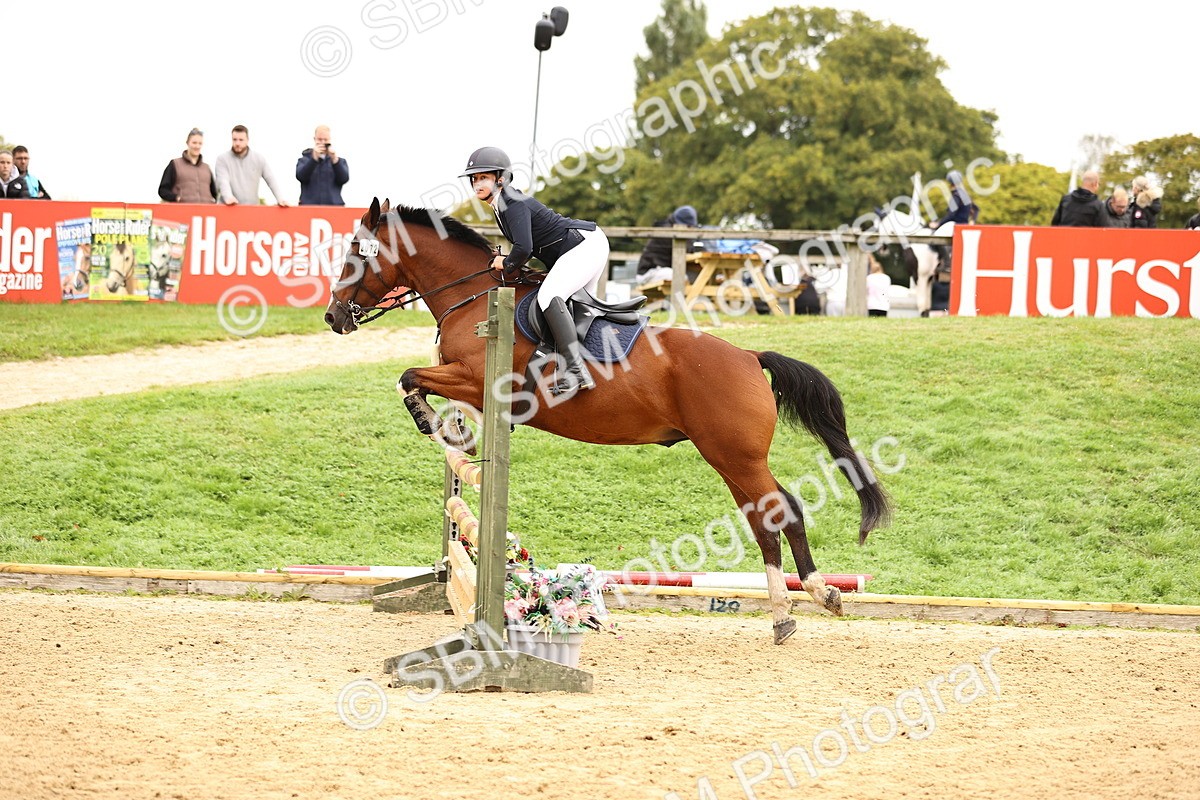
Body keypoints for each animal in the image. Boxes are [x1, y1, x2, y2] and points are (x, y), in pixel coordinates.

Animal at [325, 198, 891, 644]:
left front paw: (435, 424)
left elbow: (409, 378)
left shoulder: (475, 379)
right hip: (730, 457)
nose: (333, 318)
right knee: (767, 518)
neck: (474, 296)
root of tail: (750, 356)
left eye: (356, 255)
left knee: (778, 513)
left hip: (733, 454)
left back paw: (813, 598)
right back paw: (788, 611)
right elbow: (419, 384)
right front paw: (454, 430)